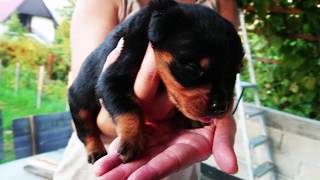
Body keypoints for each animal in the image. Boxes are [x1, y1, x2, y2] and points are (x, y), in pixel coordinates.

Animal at [67, 0, 242, 164]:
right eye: (192, 67)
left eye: (235, 73)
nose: (221, 107)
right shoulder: (113, 78)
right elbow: (128, 108)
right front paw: (132, 140)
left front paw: (189, 119)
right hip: (78, 102)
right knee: (85, 129)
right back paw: (95, 152)